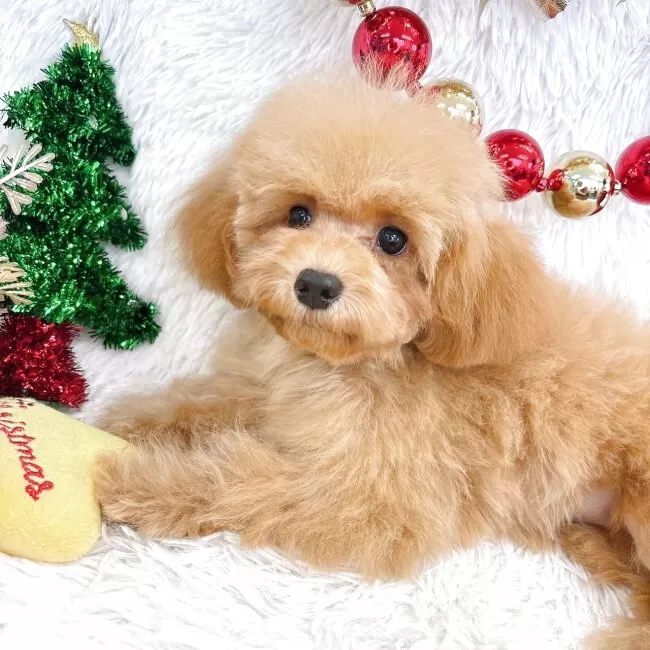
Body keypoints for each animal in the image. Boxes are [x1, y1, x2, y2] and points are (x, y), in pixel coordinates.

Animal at [96, 70, 650, 647]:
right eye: (298, 214)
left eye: (393, 239)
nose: (315, 284)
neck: (354, 362)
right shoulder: (276, 396)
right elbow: (214, 400)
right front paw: (138, 421)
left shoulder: (368, 498)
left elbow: (240, 483)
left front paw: (140, 483)